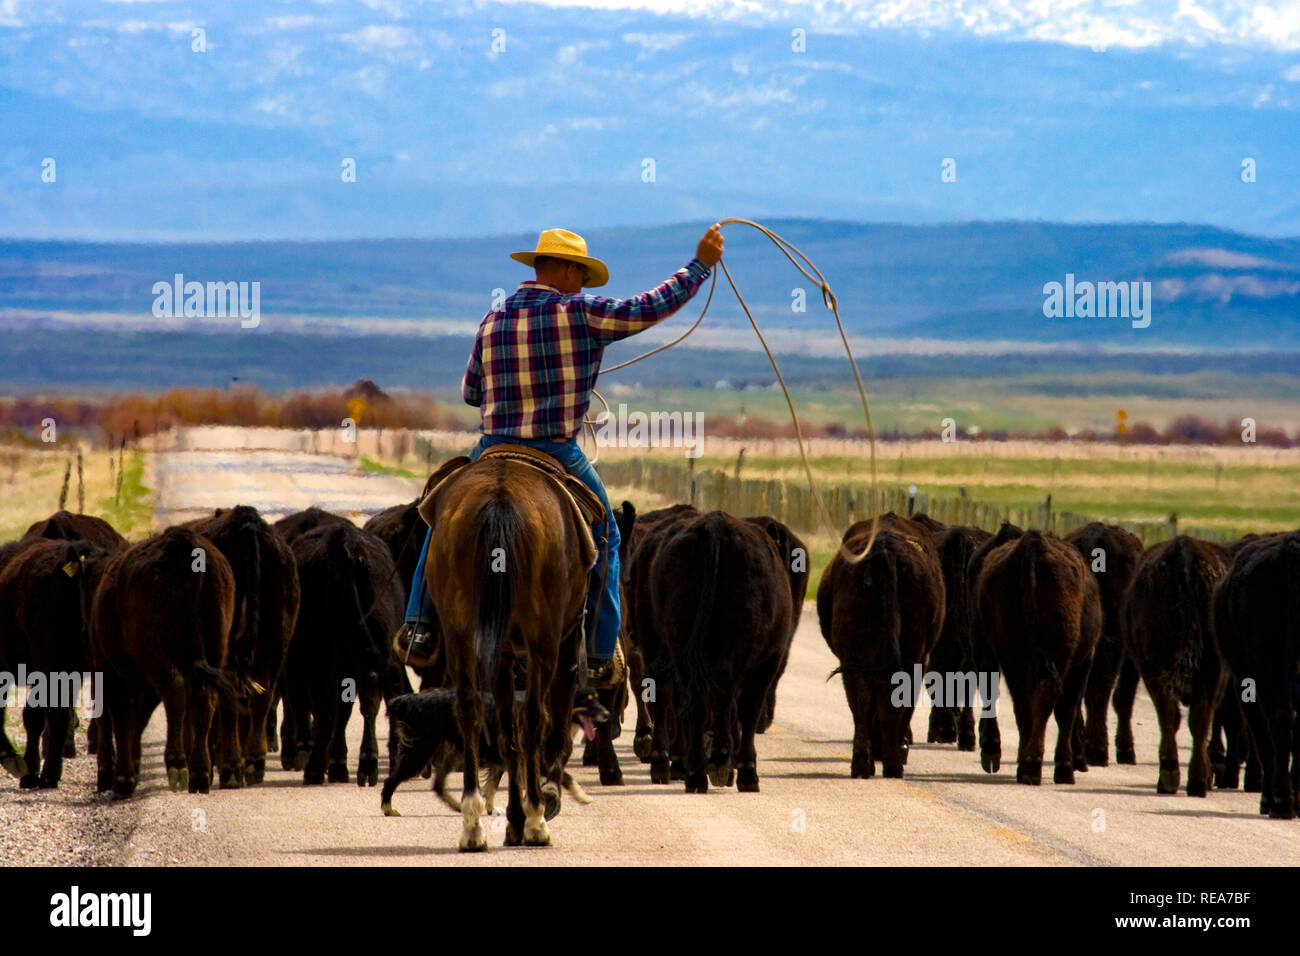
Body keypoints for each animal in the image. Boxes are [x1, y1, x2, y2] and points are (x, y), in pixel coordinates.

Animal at [90, 526, 238, 796]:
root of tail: (182, 541)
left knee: (175, 694)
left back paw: (177, 765)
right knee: (204, 697)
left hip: (156, 654)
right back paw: (199, 773)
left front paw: (124, 777)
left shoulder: (110, 670)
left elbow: (120, 718)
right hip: (216, 646)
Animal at [818, 513, 945, 779]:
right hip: (911, 654)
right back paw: (892, 762)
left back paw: (862, 763)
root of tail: (884, 549)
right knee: (887, 698)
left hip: (854, 654)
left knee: (862, 700)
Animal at [974, 530, 1101, 784]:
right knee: (1048, 698)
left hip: (1010, 653)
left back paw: (1021, 763)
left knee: (1022, 703)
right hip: (1059, 655)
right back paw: (1040, 766)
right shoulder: (1084, 660)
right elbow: (1068, 710)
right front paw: (1065, 766)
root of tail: (1032, 544)